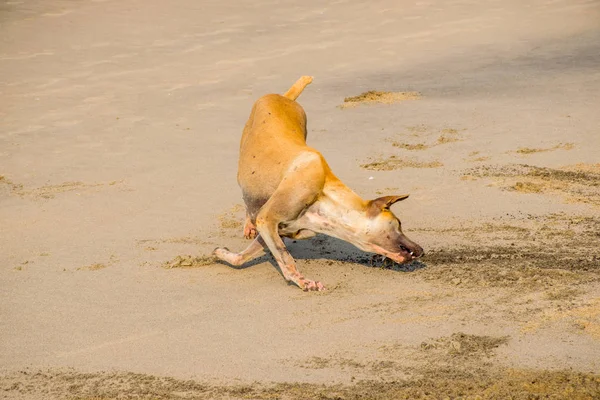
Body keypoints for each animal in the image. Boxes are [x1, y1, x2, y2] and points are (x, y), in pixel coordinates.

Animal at [213, 77, 424, 290]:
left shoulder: (276, 229)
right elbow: (284, 257)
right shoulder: (267, 220)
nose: (421, 250)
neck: (325, 198)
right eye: (399, 223)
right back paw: (249, 222)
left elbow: (244, 256)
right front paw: (302, 281)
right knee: (248, 200)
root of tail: (284, 97)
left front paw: (222, 254)